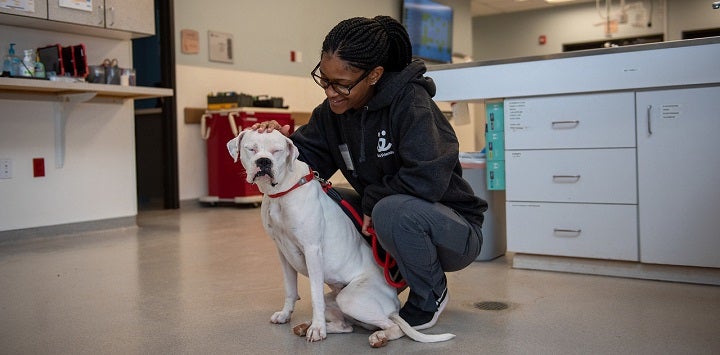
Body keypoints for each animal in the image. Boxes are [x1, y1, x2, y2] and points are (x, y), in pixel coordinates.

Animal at [229, 130, 456, 348]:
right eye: (251, 149)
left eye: (276, 151)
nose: (263, 162)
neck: (281, 191)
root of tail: (394, 304)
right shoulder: (283, 253)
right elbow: (290, 289)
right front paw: (286, 315)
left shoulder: (312, 250)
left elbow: (314, 296)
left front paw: (317, 329)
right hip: (336, 301)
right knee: (345, 326)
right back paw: (307, 326)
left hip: (349, 299)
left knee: (395, 327)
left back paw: (377, 336)